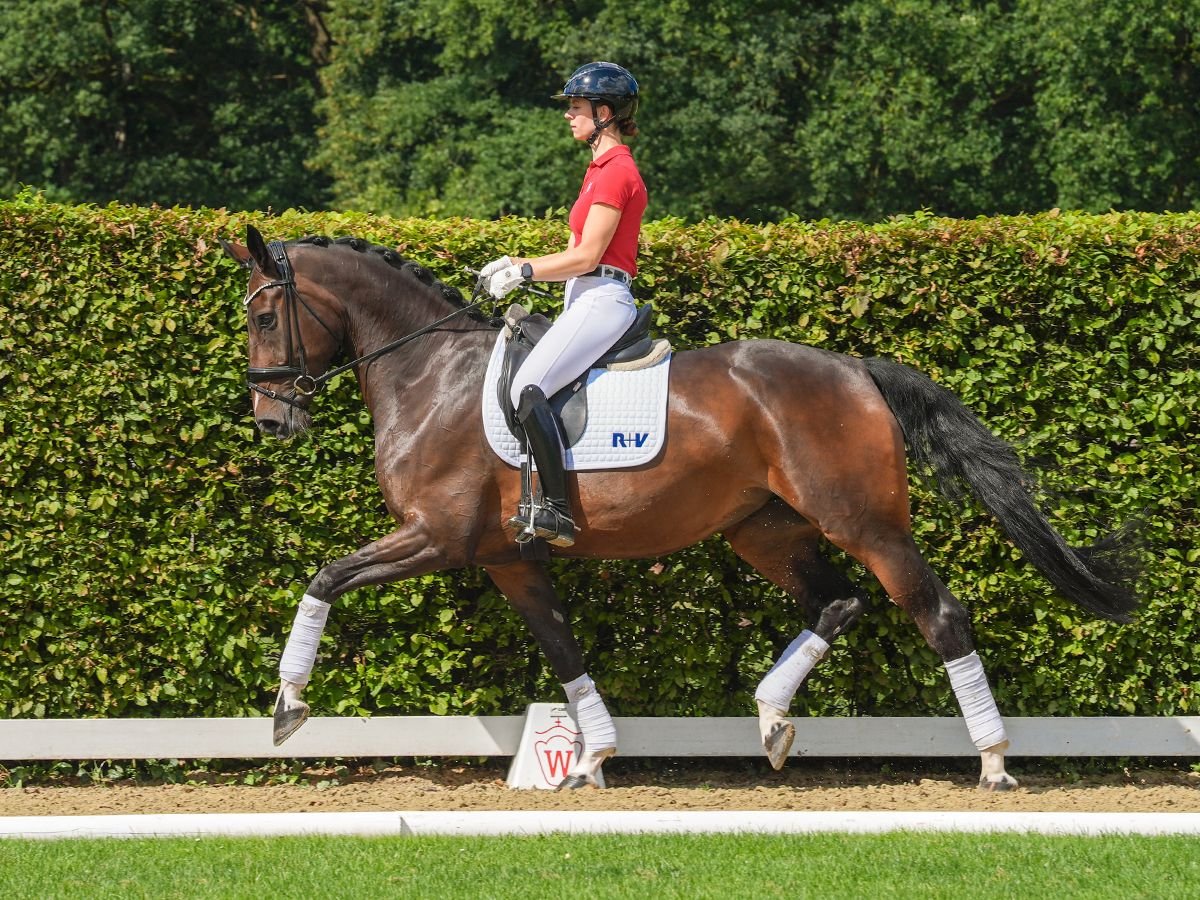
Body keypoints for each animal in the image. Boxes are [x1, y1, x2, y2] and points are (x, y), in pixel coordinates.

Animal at [220, 225, 1137, 787]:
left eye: (264, 317)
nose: (271, 420)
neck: (430, 374)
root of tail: (853, 367)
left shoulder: (436, 537)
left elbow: (324, 577)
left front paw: (287, 709)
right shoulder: (508, 559)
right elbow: (563, 648)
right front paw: (593, 756)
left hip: (866, 523)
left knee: (936, 611)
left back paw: (993, 761)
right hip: (764, 531)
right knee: (835, 603)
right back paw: (770, 722)